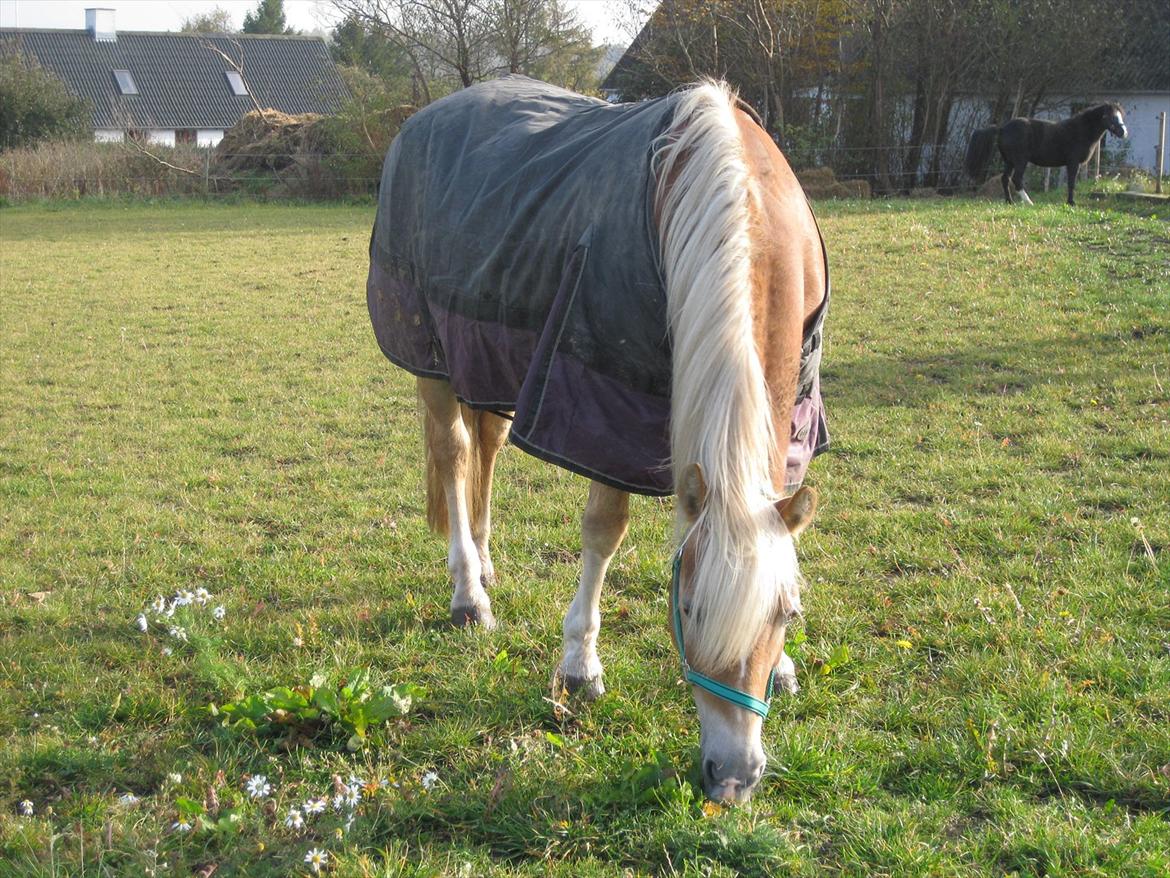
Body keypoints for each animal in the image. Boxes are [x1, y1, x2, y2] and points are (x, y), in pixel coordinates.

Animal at [369, 77, 828, 805]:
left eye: (787, 613)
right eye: (687, 608)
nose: (733, 777)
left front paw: (781, 666)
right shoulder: (608, 408)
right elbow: (604, 530)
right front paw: (579, 665)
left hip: (491, 355)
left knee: (488, 446)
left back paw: (487, 563)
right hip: (433, 359)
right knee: (453, 454)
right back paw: (469, 593)